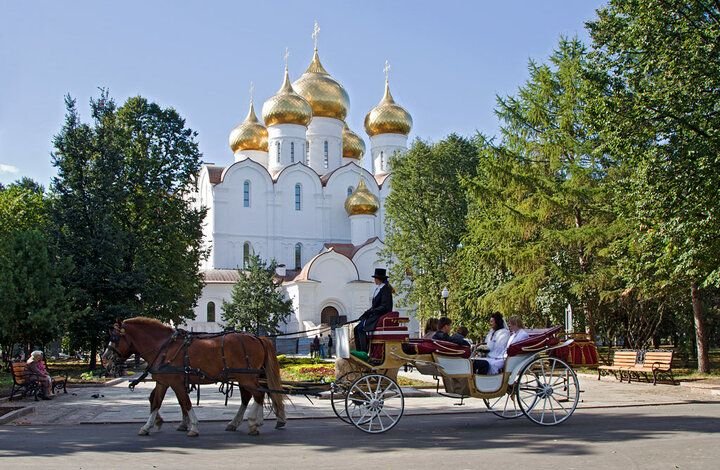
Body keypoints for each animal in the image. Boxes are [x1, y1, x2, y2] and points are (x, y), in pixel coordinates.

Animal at [102, 320, 286, 436]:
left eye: (115, 338)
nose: (104, 358)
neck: (164, 347)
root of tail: (257, 337)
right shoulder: (163, 382)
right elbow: (156, 402)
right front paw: (148, 426)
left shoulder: (176, 382)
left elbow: (185, 402)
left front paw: (194, 427)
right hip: (244, 377)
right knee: (251, 396)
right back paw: (239, 422)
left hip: (246, 377)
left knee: (258, 395)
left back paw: (253, 422)